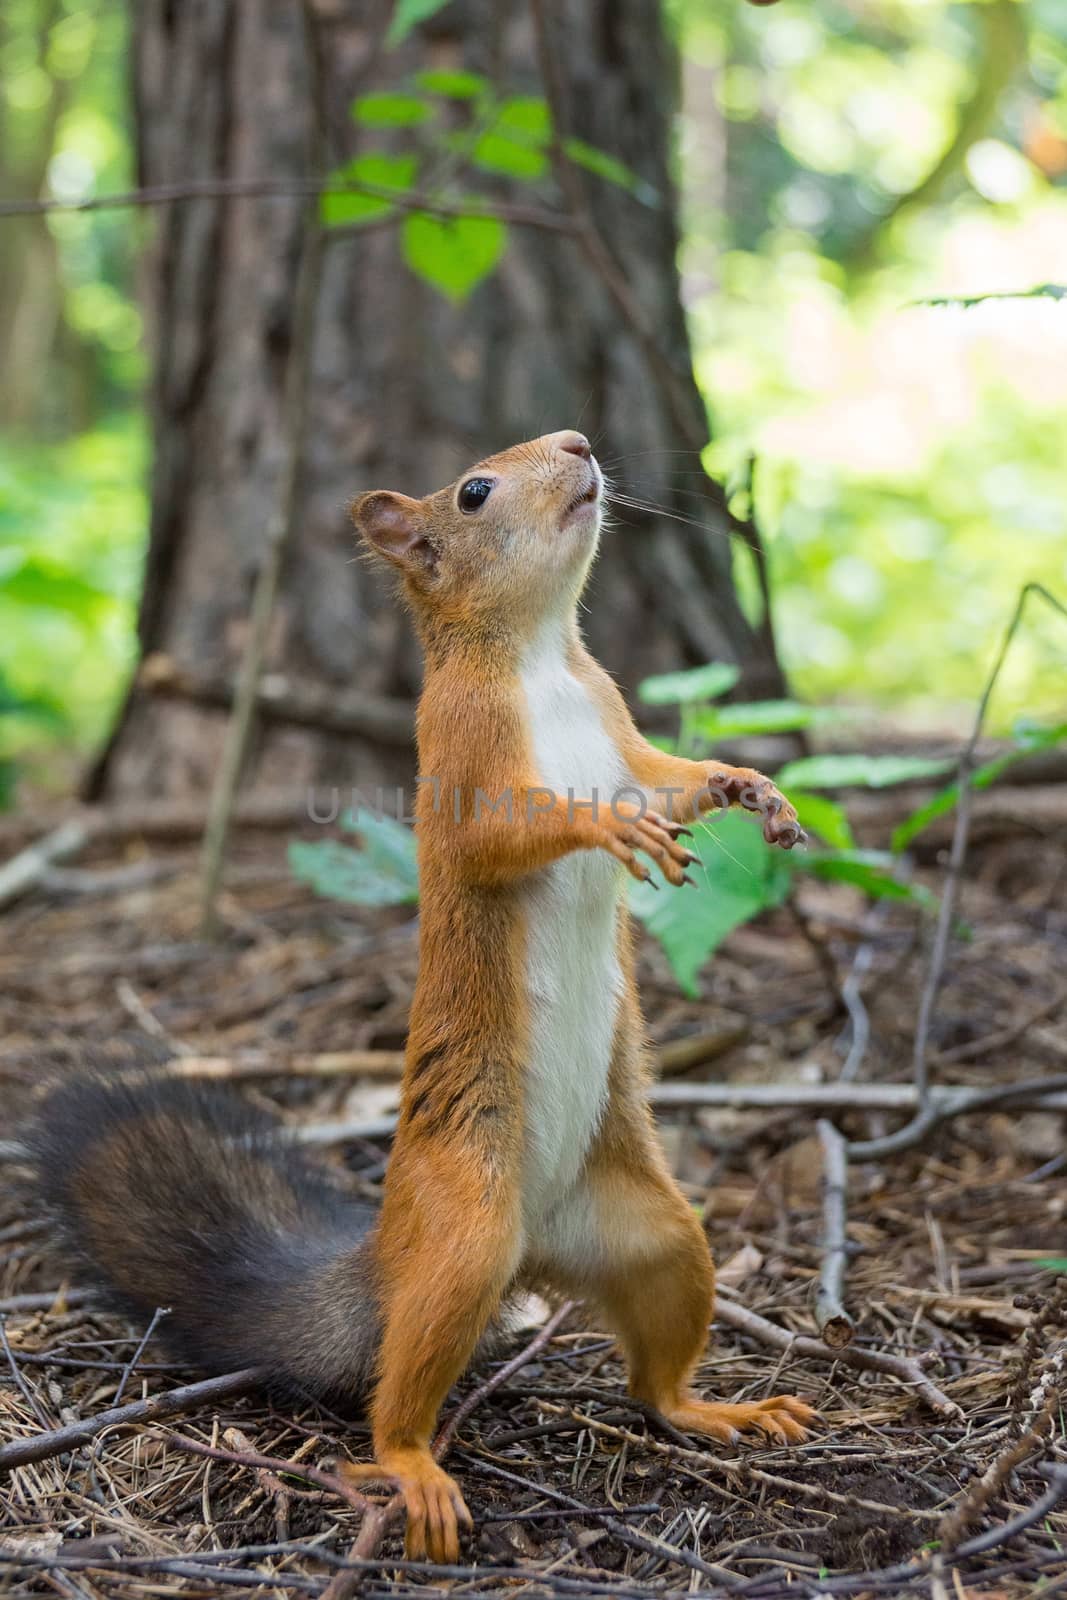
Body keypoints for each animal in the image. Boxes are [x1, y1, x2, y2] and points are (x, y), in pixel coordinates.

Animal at [35, 435, 819, 1561]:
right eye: (475, 491)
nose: (579, 444)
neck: (539, 658)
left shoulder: (619, 727)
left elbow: (666, 779)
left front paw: (744, 785)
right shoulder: (456, 751)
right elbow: (499, 836)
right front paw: (599, 826)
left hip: (654, 1234)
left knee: (654, 1378)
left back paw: (715, 1408)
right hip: (462, 1238)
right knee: (396, 1393)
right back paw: (411, 1468)